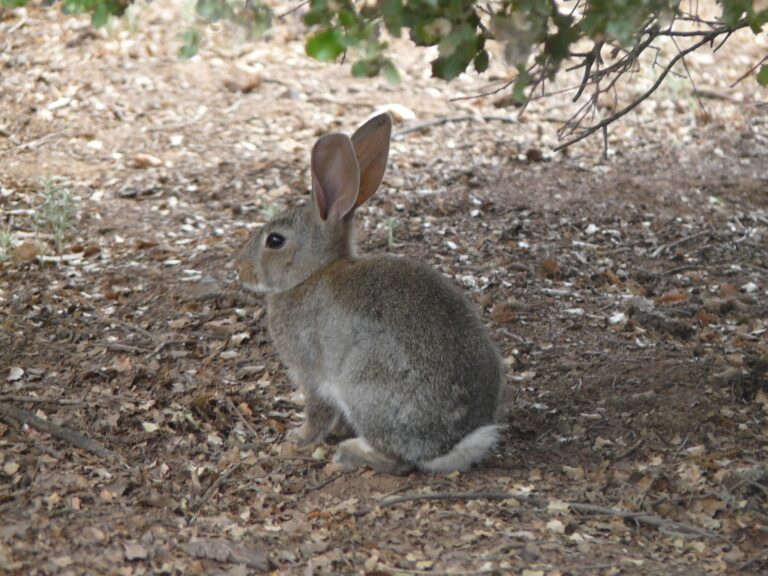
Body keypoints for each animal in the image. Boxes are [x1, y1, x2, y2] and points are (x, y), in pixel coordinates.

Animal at [236, 113, 503, 474]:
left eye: (275, 240)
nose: (239, 268)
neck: (312, 274)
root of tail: (450, 444)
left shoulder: (311, 372)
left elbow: (317, 410)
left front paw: (299, 437)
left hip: (364, 385)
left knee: (397, 460)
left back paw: (350, 453)